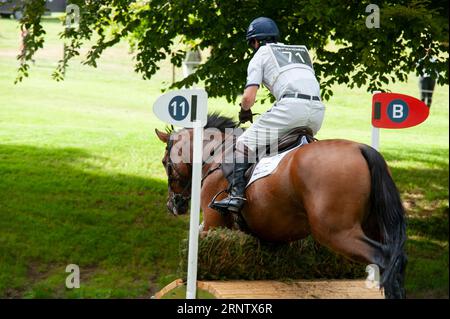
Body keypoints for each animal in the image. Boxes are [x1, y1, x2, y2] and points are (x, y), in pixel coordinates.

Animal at [155, 114, 408, 298]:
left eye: (165, 163)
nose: (173, 205)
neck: (216, 153)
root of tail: (361, 149)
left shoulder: (213, 221)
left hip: (337, 232)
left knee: (384, 259)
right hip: (372, 226)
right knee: (397, 262)